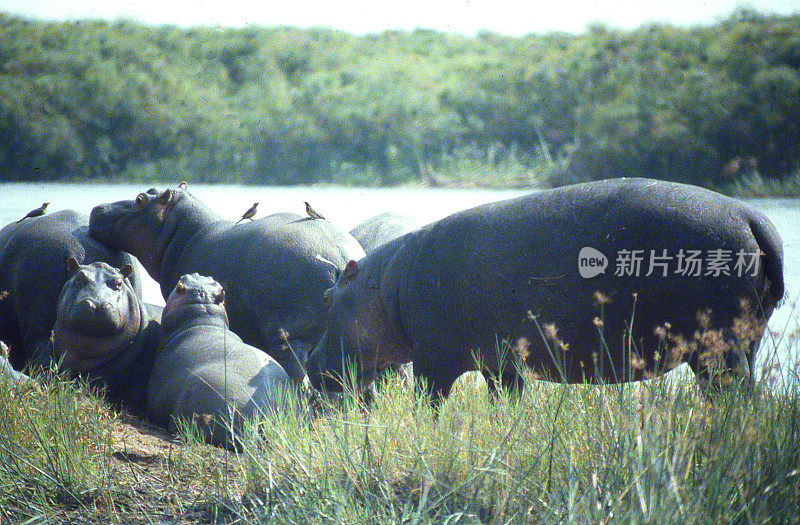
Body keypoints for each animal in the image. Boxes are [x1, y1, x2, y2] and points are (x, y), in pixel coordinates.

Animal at [89, 184, 364, 380]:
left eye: (139, 199)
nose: (96, 208)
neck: (186, 231)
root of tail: (341, 256)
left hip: (289, 338)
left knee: (299, 375)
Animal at [308, 178, 788, 400]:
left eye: (328, 298)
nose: (310, 359)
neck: (383, 285)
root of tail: (754, 217)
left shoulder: (432, 361)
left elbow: (429, 404)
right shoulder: (501, 366)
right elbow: (504, 402)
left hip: (717, 348)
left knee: (731, 392)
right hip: (744, 342)